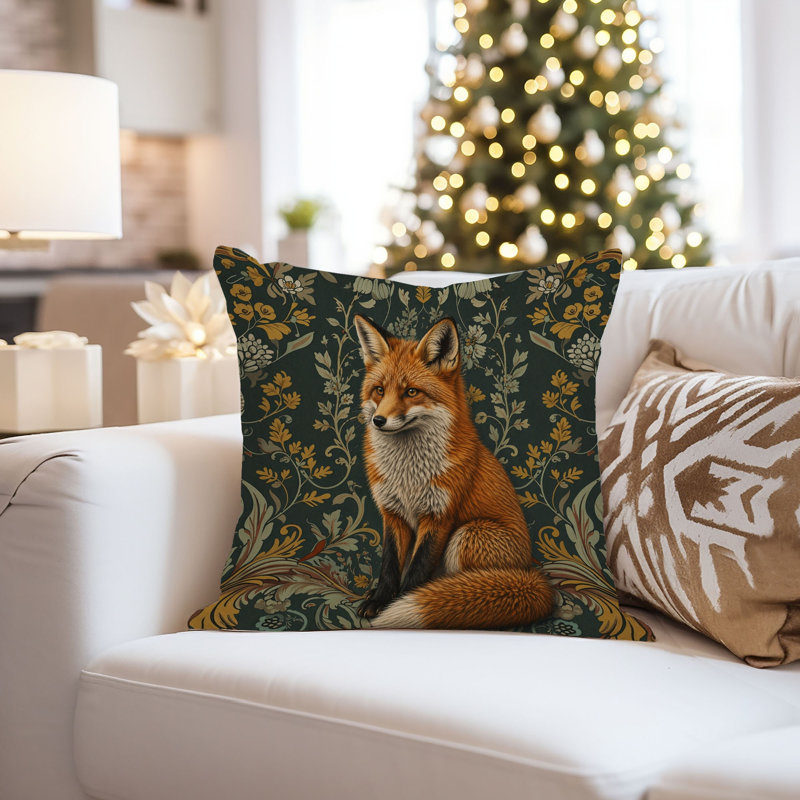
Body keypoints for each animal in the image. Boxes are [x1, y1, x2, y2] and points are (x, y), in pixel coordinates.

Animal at [353, 313, 553, 630]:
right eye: (380, 390)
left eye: (411, 392)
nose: (378, 420)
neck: (408, 475)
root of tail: (530, 571)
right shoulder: (393, 513)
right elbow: (389, 565)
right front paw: (380, 600)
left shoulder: (440, 515)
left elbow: (417, 568)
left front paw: (401, 601)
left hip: (468, 534)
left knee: (469, 584)